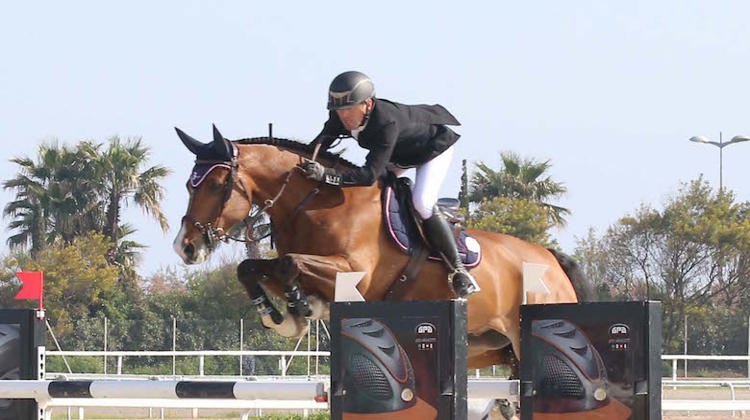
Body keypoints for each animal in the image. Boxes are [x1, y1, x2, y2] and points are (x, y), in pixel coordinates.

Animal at [173, 126, 592, 370]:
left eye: (216, 185)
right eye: (189, 185)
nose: (185, 248)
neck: (316, 203)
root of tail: (552, 260)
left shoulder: (352, 273)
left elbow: (290, 263)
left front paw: (299, 308)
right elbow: (254, 268)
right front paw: (282, 316)